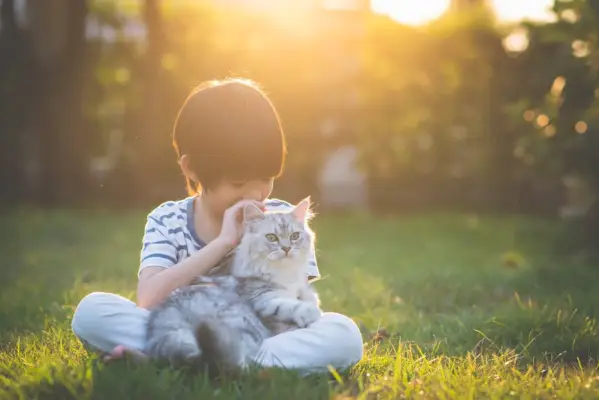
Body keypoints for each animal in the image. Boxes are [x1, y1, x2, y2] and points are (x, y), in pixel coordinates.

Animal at [144, 197, 324, 372]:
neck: (284, 273)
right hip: (245, 326)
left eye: (295, 236)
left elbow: (308, 298)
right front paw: (311, 314)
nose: (286, 249)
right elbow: (290, 306)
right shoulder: (262, 299)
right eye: (272, 237)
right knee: (232, 364)